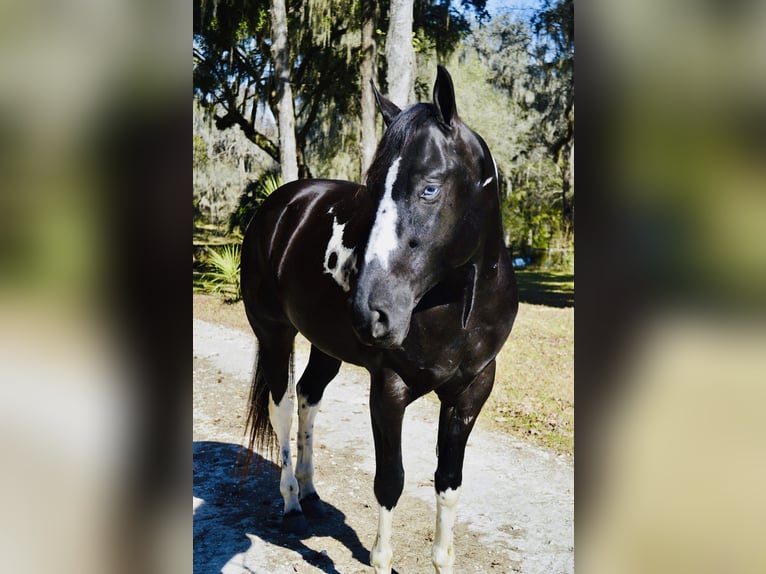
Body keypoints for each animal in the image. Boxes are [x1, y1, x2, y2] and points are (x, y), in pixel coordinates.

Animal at [240, 66, 518, 574]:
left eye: (430, 188)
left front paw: (442, 559)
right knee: (283, 408)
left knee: (309, 396)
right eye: (371, 190)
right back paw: (291, 503)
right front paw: (381, 558)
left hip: (324, 345)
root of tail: (281, 205)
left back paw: (310, 490)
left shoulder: (472, 391)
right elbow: (390, 482)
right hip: (274, 336)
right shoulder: (388, 389)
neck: (457, 308)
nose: (370, 311)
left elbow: (448, 481)